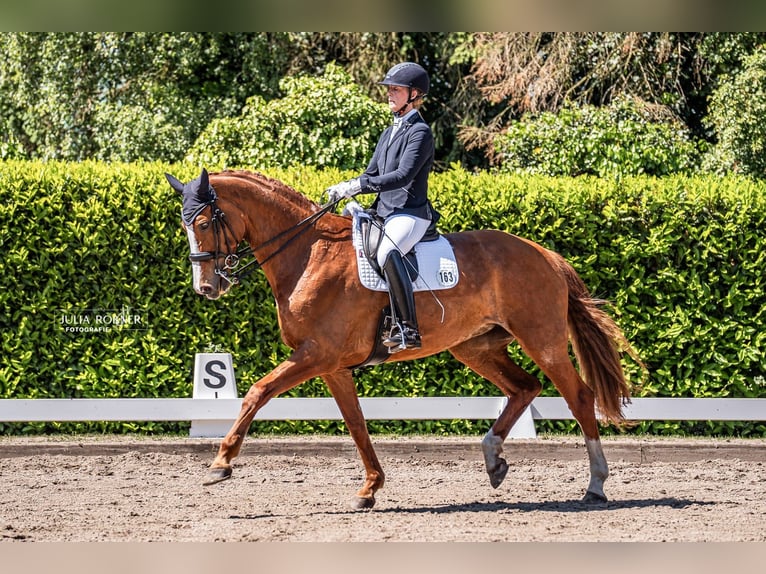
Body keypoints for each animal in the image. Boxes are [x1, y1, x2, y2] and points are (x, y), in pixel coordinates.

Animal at [166, 169, 640, 510]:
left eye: (204, 222)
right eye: (184, 225)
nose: (206, 287)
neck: (308, 254)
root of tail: (545, 254)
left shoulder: (316, 354)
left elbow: (257, 392)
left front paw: (220, 464)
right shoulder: (333, 365)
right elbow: (356, 424)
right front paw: (370, 488)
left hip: (542, 341)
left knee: (578, 396)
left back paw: (596, 485)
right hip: (475, 346)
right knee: (525, 387)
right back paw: (493, 460)